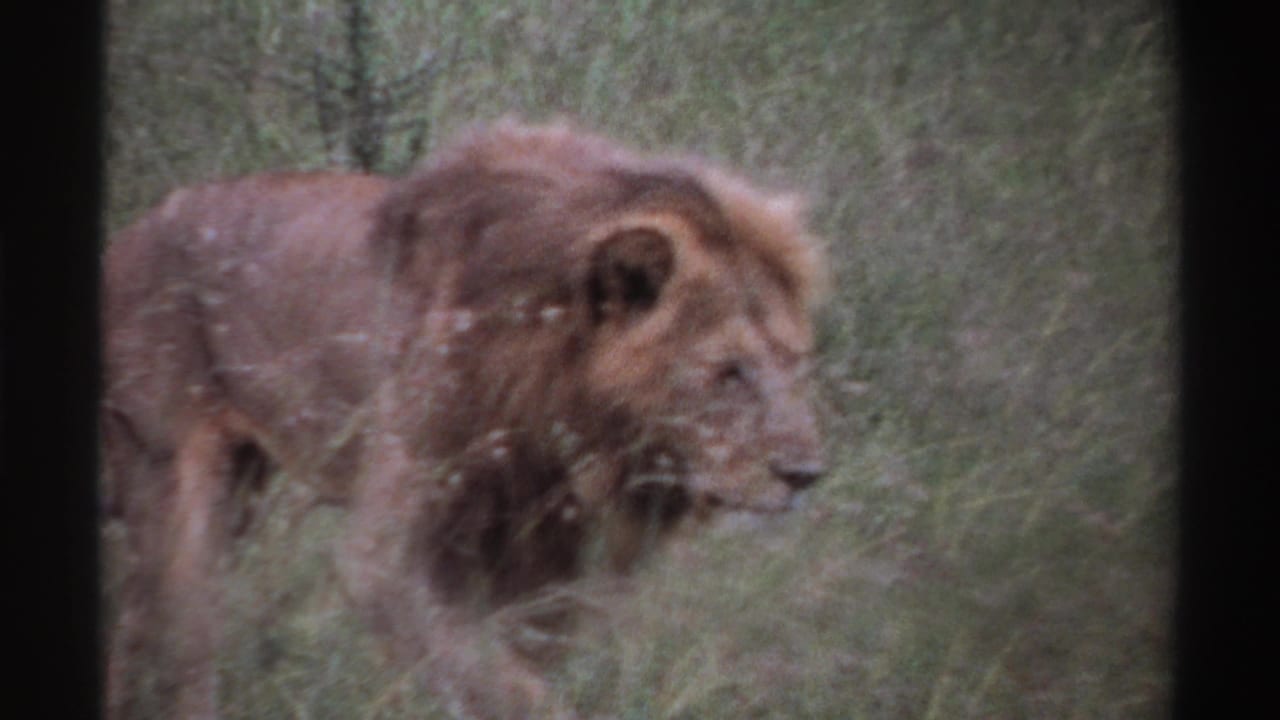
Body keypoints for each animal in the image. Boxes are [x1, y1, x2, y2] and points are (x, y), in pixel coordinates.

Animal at [102, 119, 827, 719]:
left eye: (794, 362)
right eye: (729, 372)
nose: (807, 475)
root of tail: (130, 233)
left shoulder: (542, 560)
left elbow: (507, 666)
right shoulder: (390, 555)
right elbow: (496, 682)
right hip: (172, 484)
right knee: (180, 651)